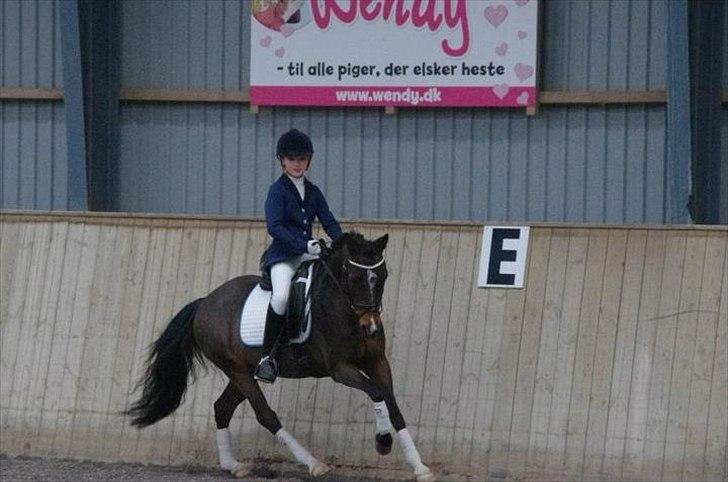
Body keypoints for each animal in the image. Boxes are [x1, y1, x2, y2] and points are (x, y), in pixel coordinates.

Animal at [126, 232, 432, 480]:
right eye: (355, 278)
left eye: (383, 276)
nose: (370, 327)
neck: (342, 308)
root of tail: (205, 303)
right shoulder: (340, 369)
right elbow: (376, 393)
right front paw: (383, 442)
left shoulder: (377, 362)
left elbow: (393, 405)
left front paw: (419, 467)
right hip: (238, 371)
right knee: (265, 415)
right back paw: (313, 464)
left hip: (242, 372)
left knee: (222, 407)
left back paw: (234, 466)